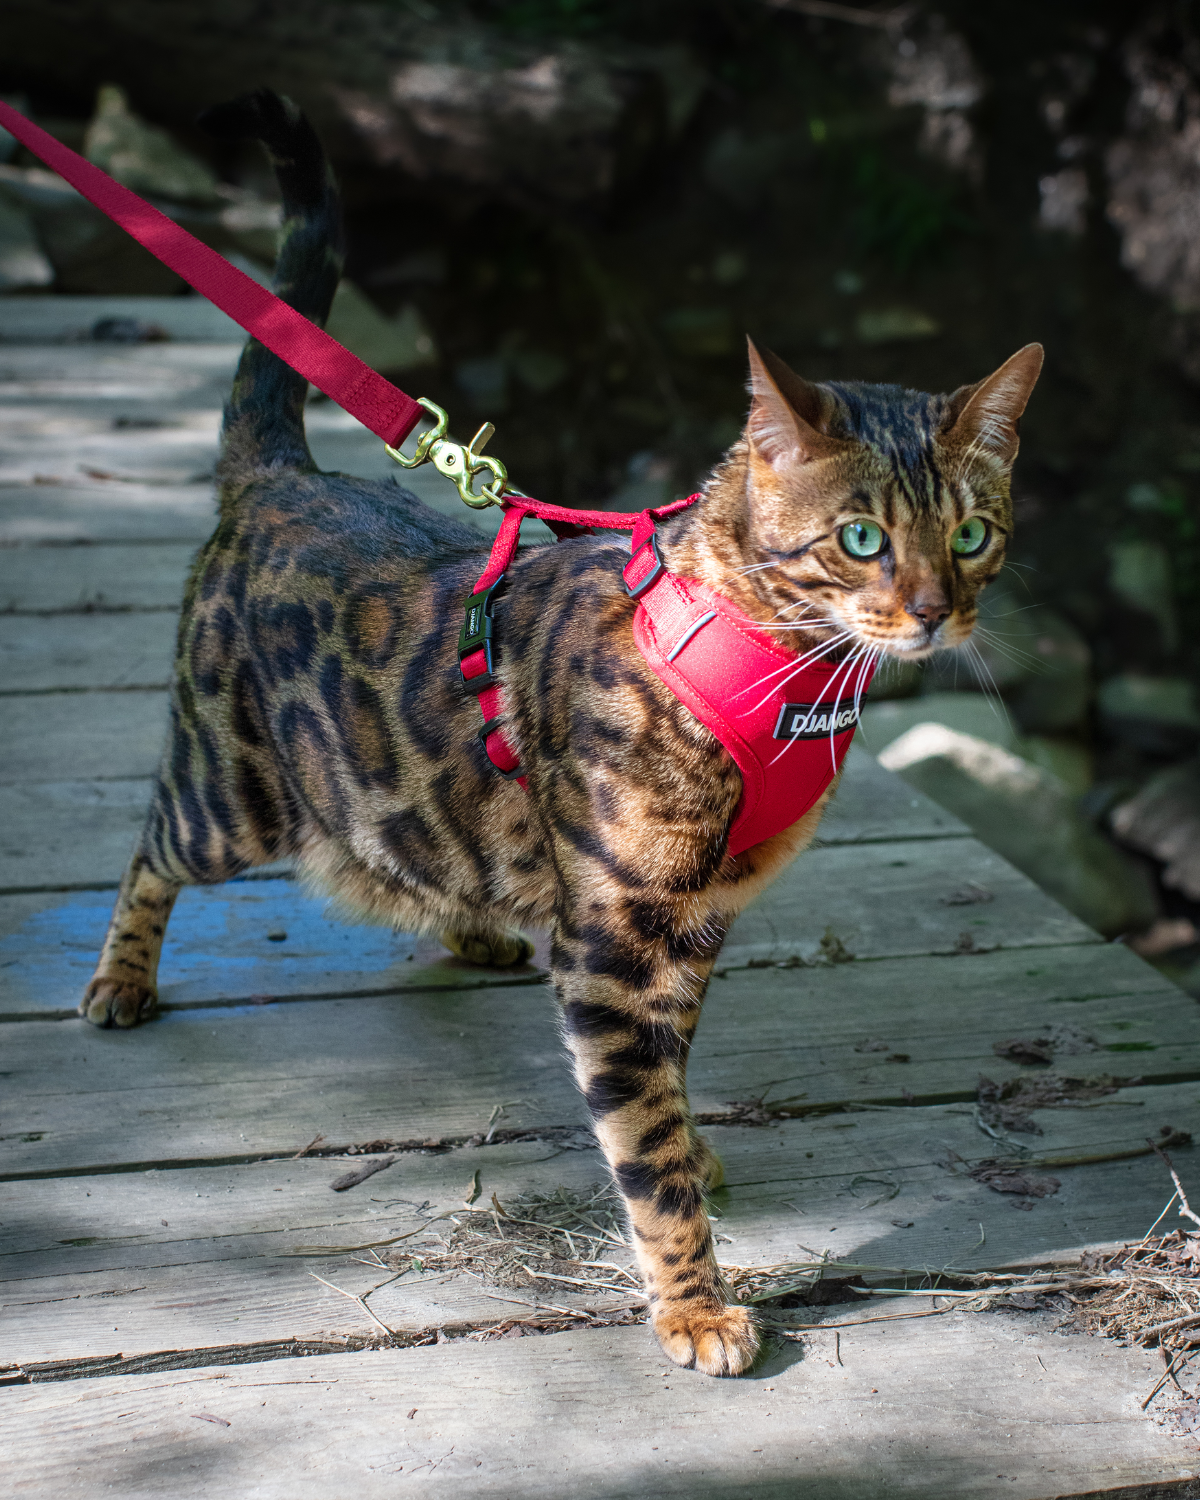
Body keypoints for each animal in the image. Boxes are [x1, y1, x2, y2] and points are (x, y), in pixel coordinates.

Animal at [82, 93, 1038, 1374]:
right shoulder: (617, 942)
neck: (771, 677)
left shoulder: (691, 926)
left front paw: (693, 1156)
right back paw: (120, 977)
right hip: (231, 795)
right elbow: (643, 1149)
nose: (938, 610)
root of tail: (282, 474)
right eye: (862, 539)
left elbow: (669, 1083)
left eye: (973, 532)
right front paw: (693, 1302)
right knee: (151, 848)